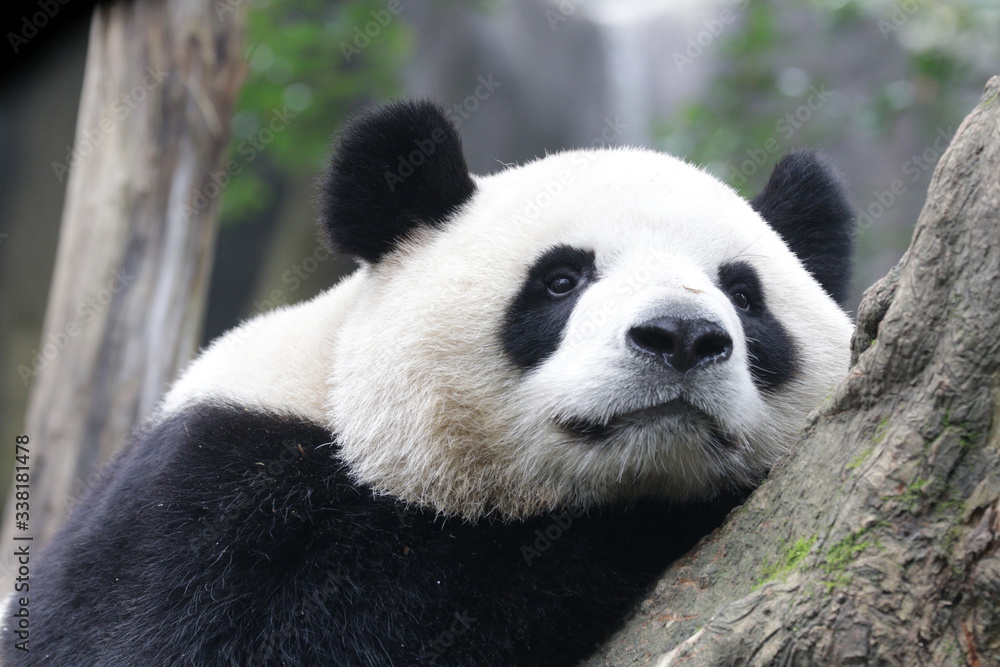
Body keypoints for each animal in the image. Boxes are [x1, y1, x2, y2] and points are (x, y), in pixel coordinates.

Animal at [4, 100, 854, 666]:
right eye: (560, 279)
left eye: (744, 294)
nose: (680, 336)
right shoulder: (201, 499)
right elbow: (289, 631)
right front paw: (644, 523)